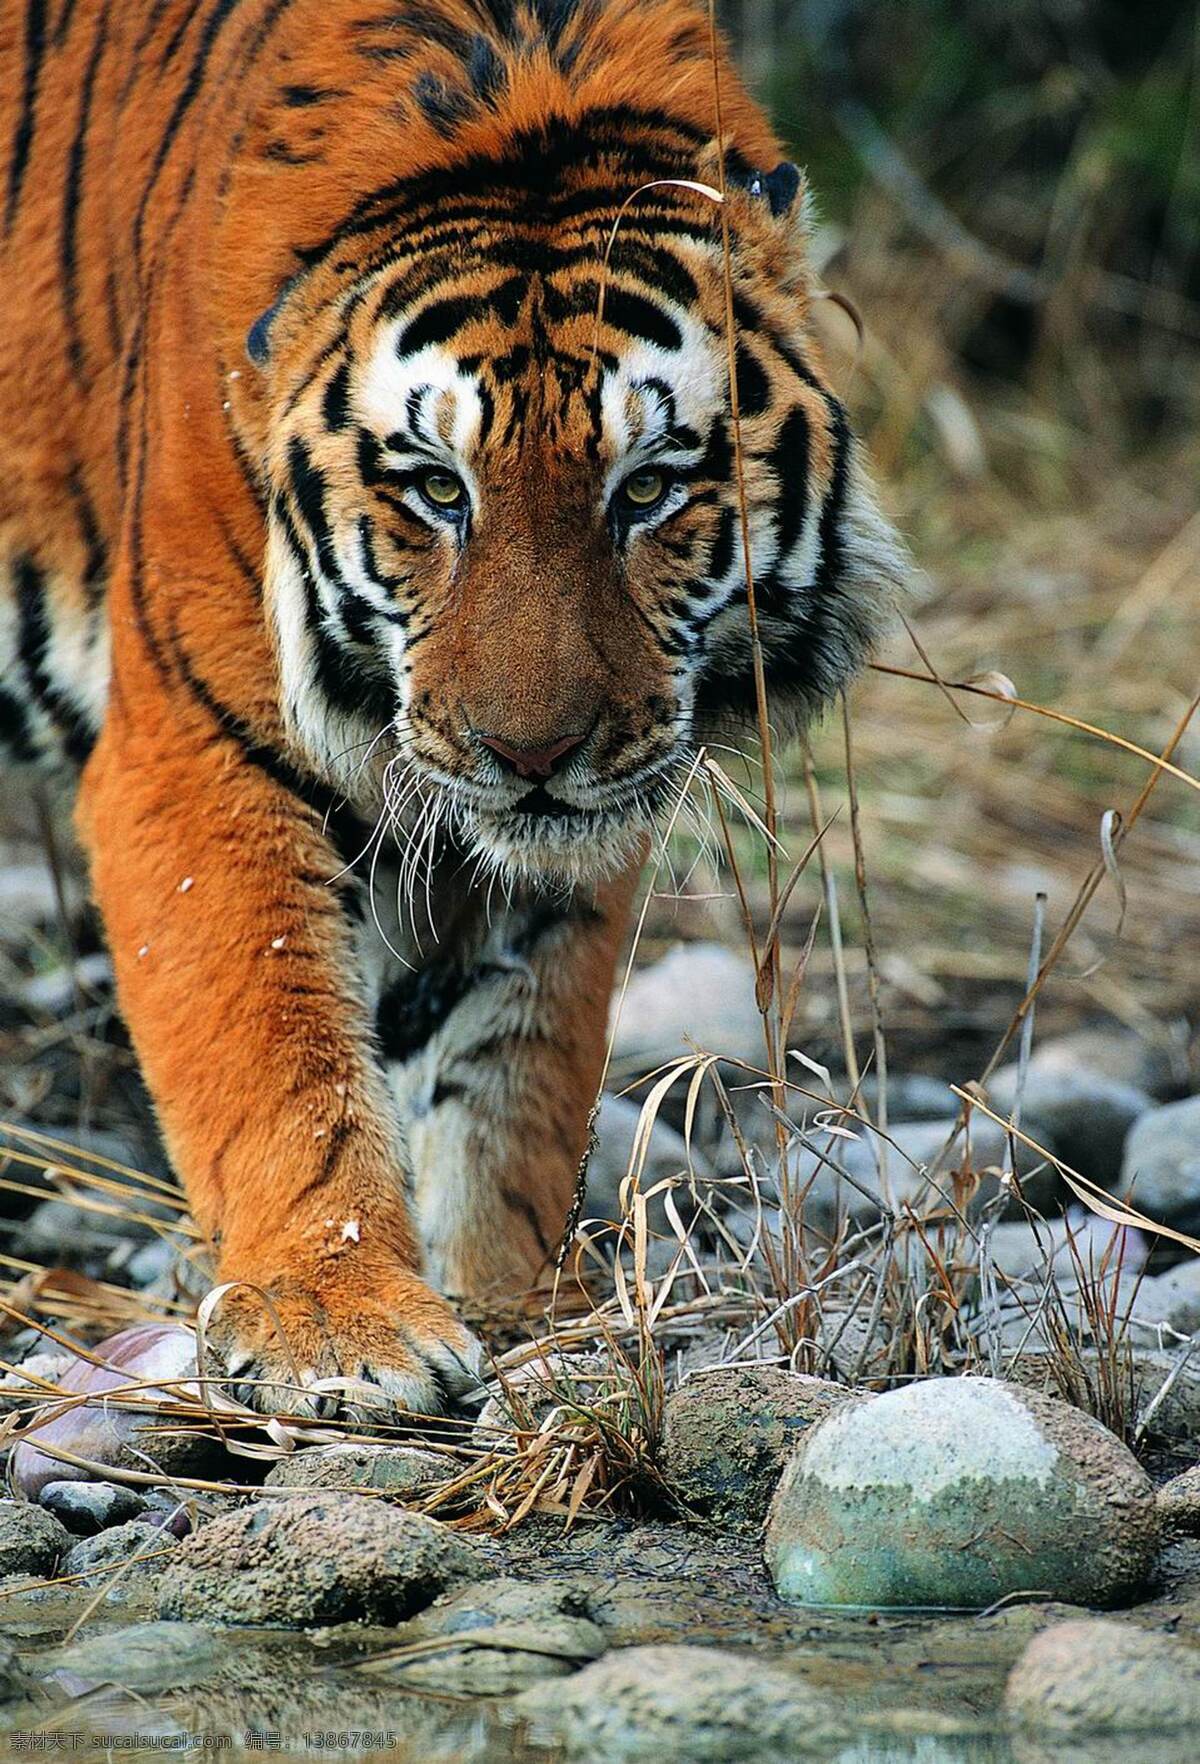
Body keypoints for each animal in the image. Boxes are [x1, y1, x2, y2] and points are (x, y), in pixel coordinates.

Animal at [0, 0, 907, 1415]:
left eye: (649, 489)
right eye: (436, 489)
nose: (528, 752)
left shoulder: (584, 826)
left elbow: (520, 1072)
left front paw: (521, 1305)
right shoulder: (192, 747)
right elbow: (276, 1045)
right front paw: (339, 1322)